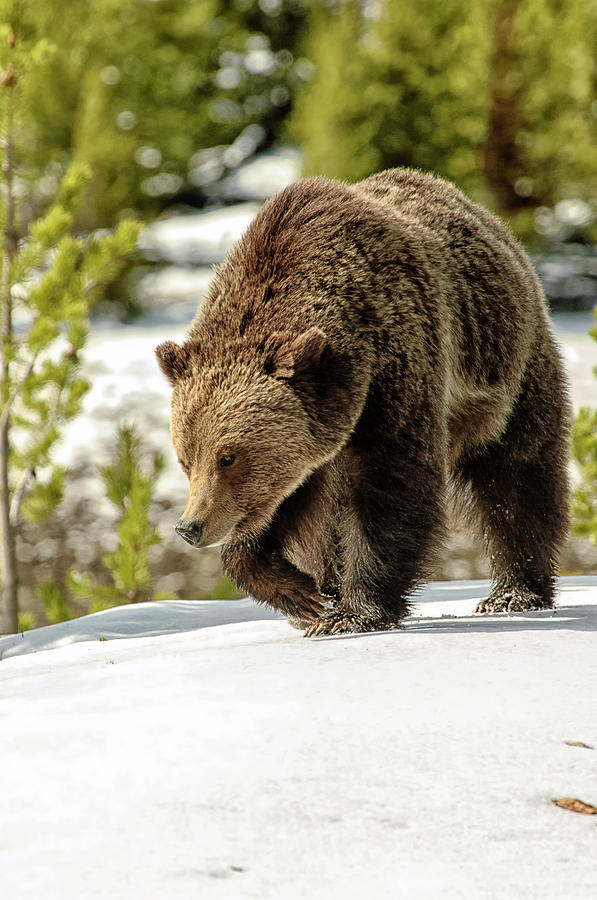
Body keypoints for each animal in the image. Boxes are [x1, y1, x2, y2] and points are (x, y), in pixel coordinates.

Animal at [156, 165, 572, 636]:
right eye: (185, 460)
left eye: (228, 457)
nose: (190, 527)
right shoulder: (318, 434)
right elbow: (285, 502)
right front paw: (301, 594)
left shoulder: (395, 368)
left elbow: (391, 483)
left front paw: (354, 613)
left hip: (507, 367)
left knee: (516, 471)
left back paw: (515, 591)